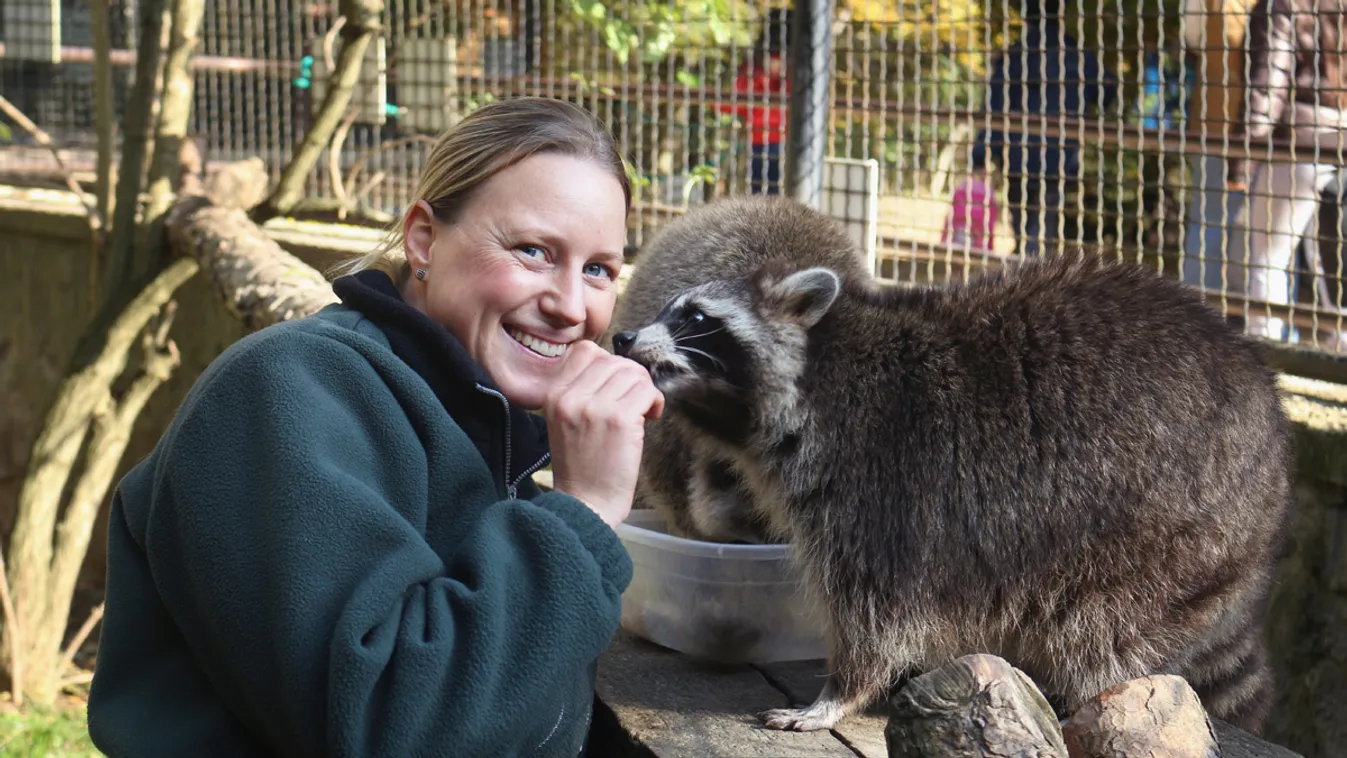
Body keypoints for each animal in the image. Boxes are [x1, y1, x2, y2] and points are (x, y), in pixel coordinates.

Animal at [608, 195, 1293, 737]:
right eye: (668, 309)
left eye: (697, 318)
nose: (621, 338)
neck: (819, 374)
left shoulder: (883, 477)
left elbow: (877, 615)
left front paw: (838, 695)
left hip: (1163, 529)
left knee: (1102, 629)